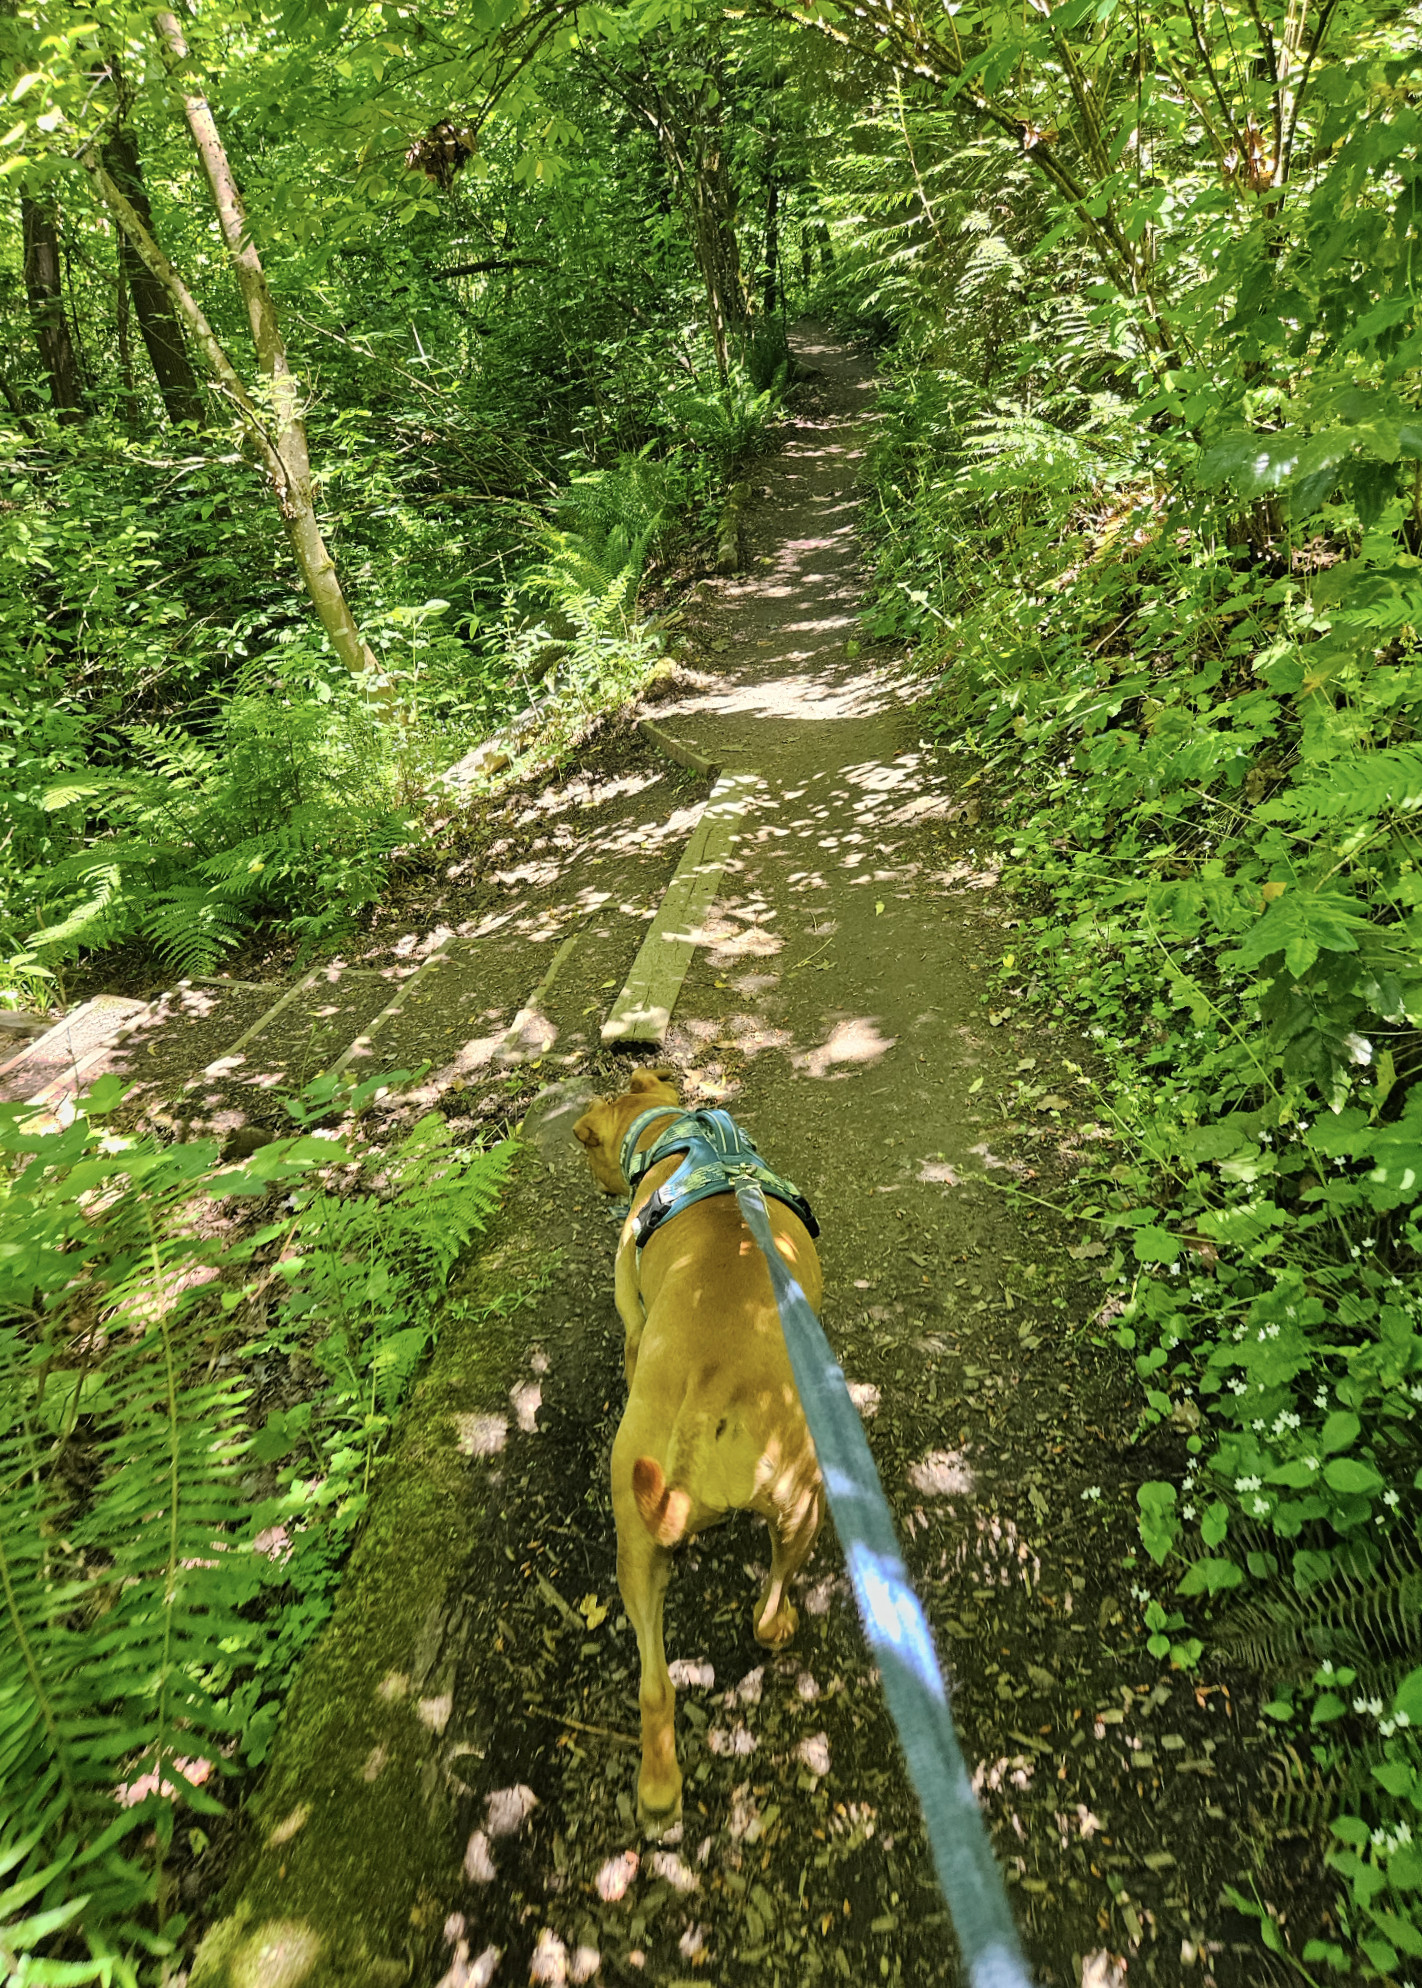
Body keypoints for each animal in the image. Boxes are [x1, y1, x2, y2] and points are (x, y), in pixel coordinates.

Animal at [576, 1073, 827, 1828]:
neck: (672, 1136)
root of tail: (708, 1396)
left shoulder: (632, 1317)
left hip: (638, 1545)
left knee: (656, 1685)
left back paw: (659, 1789)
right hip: (803, 1504)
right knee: (766, 1610)